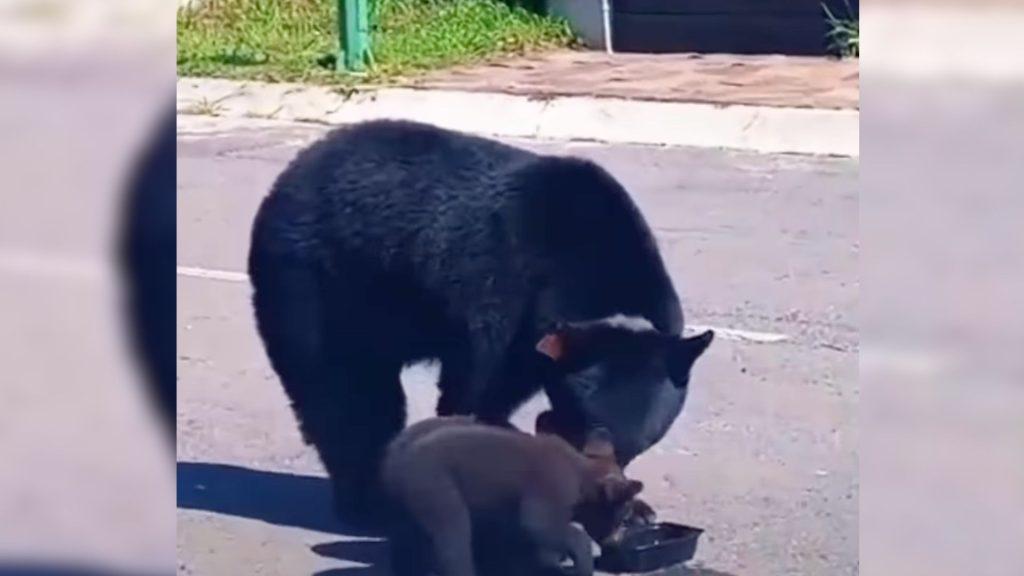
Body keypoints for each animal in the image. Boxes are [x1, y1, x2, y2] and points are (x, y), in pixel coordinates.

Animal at [248, 120, 713, 524]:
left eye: (635, 449)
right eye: (591, 430)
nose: (611, 476)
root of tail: (284, 180)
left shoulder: (535, 342)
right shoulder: (502, 297)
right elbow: (473, 395)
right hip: (316, 286)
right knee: (341, 393)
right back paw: (366, 504)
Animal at [380, 416, 643, 576]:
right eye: (623, 518)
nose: (614, 545)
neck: (583, 474)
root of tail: (395, 458)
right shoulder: (551, 489)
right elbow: (541, 526)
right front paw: (583, 560)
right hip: (435, 484)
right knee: (454, 537)